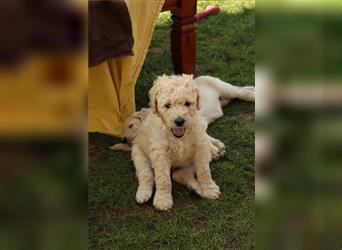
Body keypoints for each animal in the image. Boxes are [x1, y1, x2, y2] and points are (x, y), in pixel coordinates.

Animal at [111, 74, 255, 160]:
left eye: (131, 125)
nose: (124, 139)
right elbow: (206, 137)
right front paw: (216, 147)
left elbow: (202, 137)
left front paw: (214, 150)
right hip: (227, 97)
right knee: (242, 91)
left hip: (224, 88)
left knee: (242, 92)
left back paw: (253, 95)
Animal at [131, 74, 219, 211]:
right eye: (168, 105)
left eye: (187, 103)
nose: (179, 121)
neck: (178, 136)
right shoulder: (160, 152)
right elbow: (163, 178)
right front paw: (163, 199)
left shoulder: (200, 147)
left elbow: (204, 171)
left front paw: (209, 189)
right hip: (138, 155)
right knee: (146, 175)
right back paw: (143, 193)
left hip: (187, 165)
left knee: (181, 175)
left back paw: (196, 188)